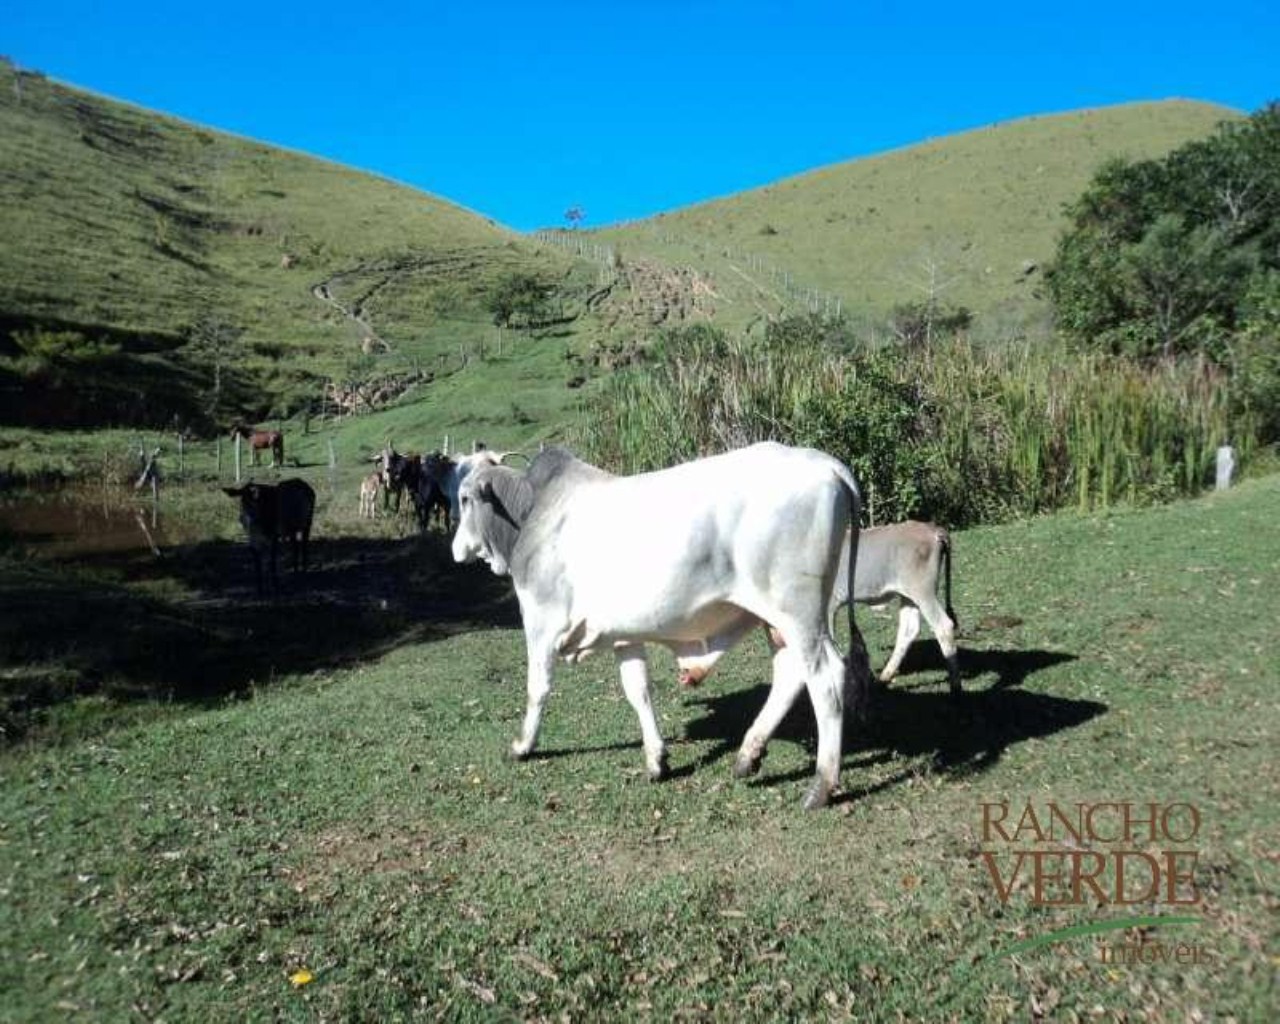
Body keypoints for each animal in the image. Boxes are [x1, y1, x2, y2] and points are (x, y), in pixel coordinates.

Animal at [448, 442, 870, 814]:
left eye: (465, 498)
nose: (456, 549)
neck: (532, 514)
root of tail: (828, 464)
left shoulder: (540, 619)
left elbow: (537, 687)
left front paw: (522, 745)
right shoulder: (623, 635)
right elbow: (638, 690)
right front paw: (656, 760)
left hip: (799, 613)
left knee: (826, 677)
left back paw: (821, 785)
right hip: (779, 619)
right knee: (790, 674)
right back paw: (748, 755)